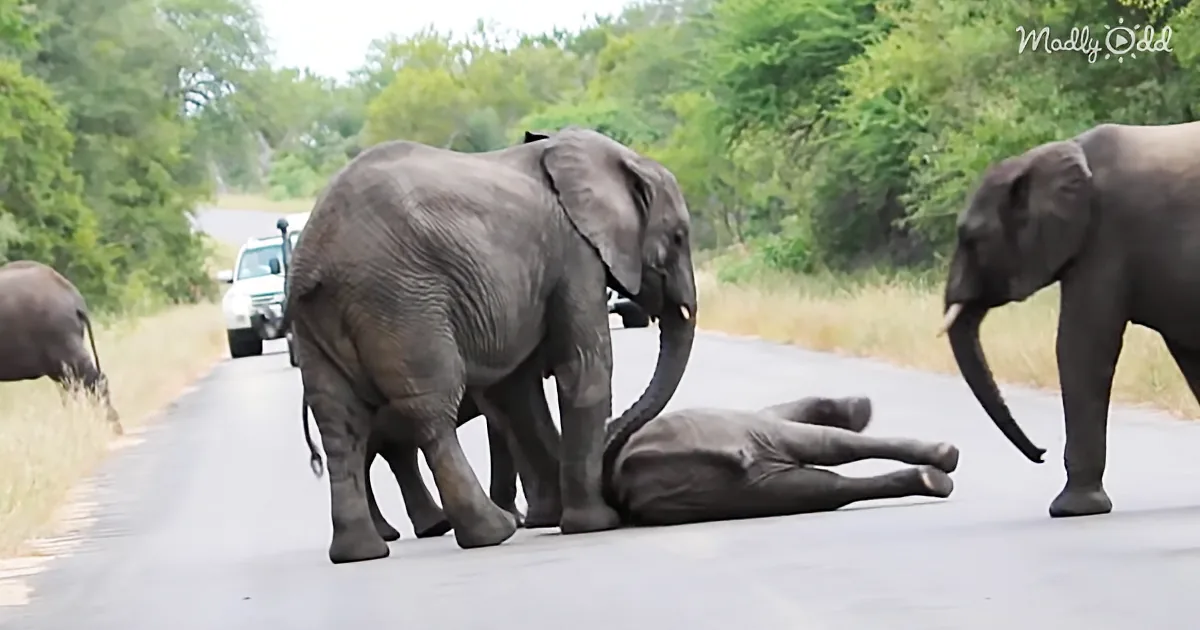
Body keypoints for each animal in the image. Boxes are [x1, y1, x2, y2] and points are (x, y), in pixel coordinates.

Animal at [281, 126, 697, 564]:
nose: (613, 440)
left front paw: (550, 518)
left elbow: (514, 394)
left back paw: (362, 551)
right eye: (678, 236)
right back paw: (487, 531)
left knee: (342, 425)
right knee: (429, 413)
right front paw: (594, 523)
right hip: (400, 302)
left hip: (319, 323)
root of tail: (313, 258)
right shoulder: (575, 255)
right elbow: (583, 369)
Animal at [938, 120, 1200, 518]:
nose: (1041, 453)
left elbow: (1081, 347)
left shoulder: (1105, 241)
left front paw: (1071, 510)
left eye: (972, 238)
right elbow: (1189, 354)